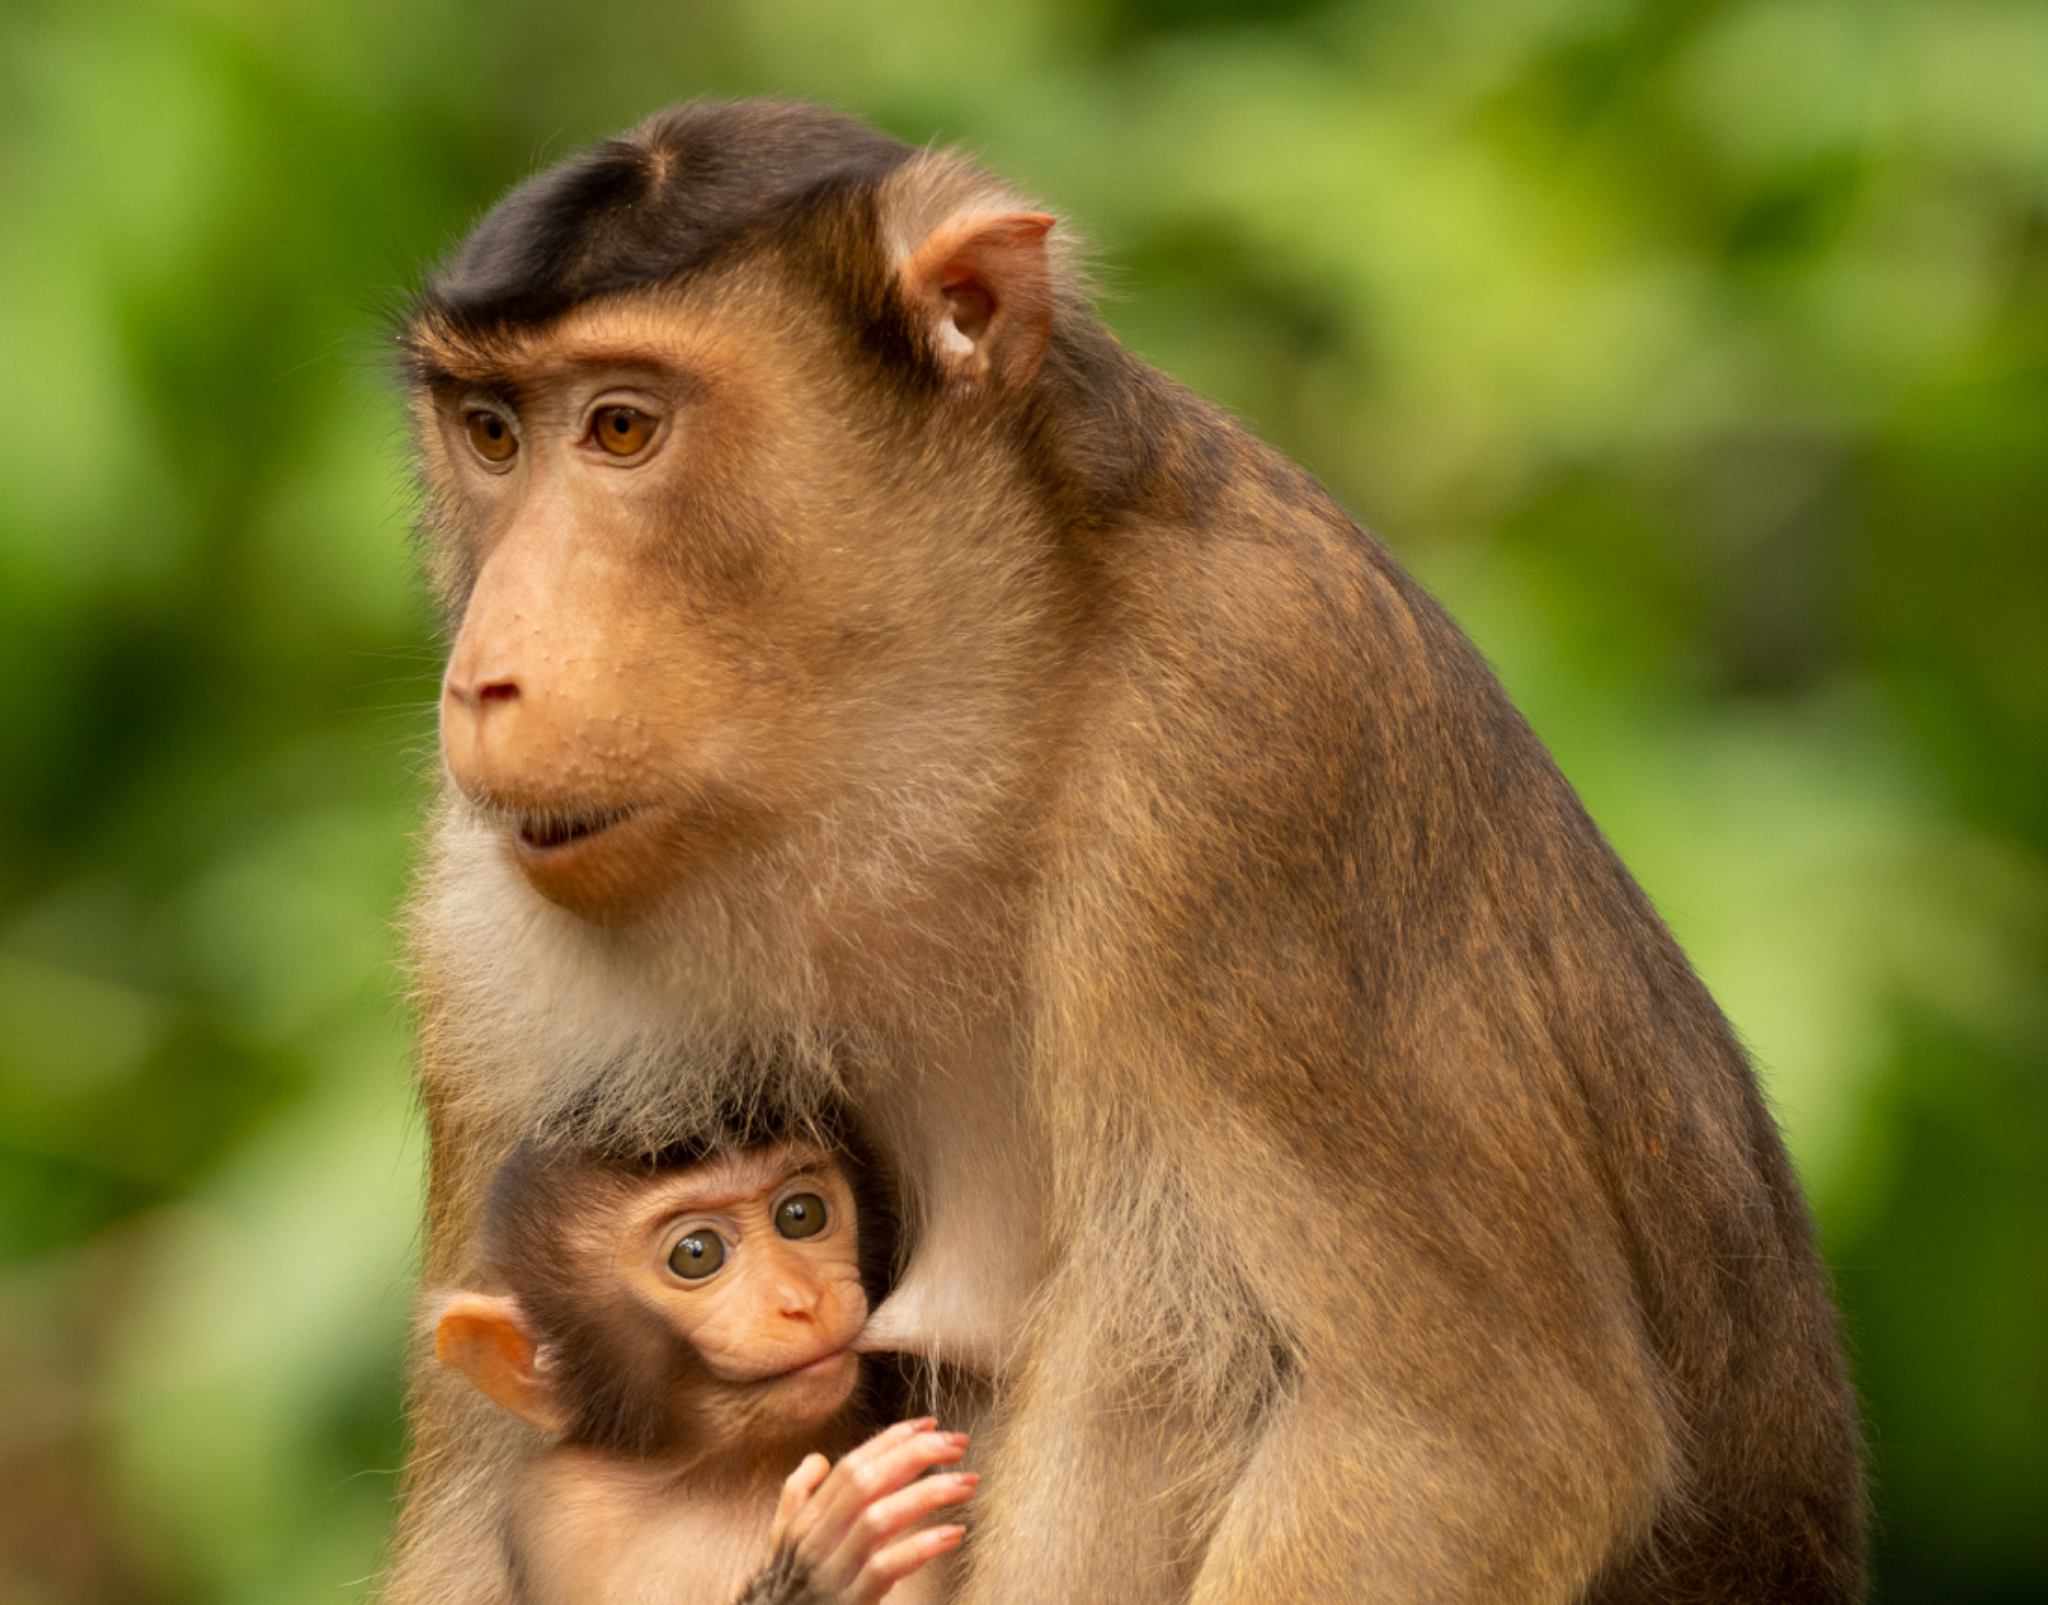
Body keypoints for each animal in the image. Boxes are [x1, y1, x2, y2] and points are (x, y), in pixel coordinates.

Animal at [433, 1132, 975, 1605]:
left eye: (801, 1214)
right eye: (696, 1253)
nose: (802, 1302)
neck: (737, 1469)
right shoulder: (556, 1505)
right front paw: (805, 1581)